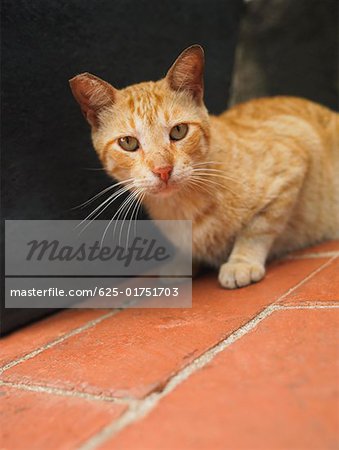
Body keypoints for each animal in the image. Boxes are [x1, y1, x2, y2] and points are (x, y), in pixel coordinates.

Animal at [69, 44, 339, 288]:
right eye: (128, 142)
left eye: (179, 131)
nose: (163, 170)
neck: (180, 208)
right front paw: (183, 261)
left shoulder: (294, 151)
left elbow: (258, 228)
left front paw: (241, 262)